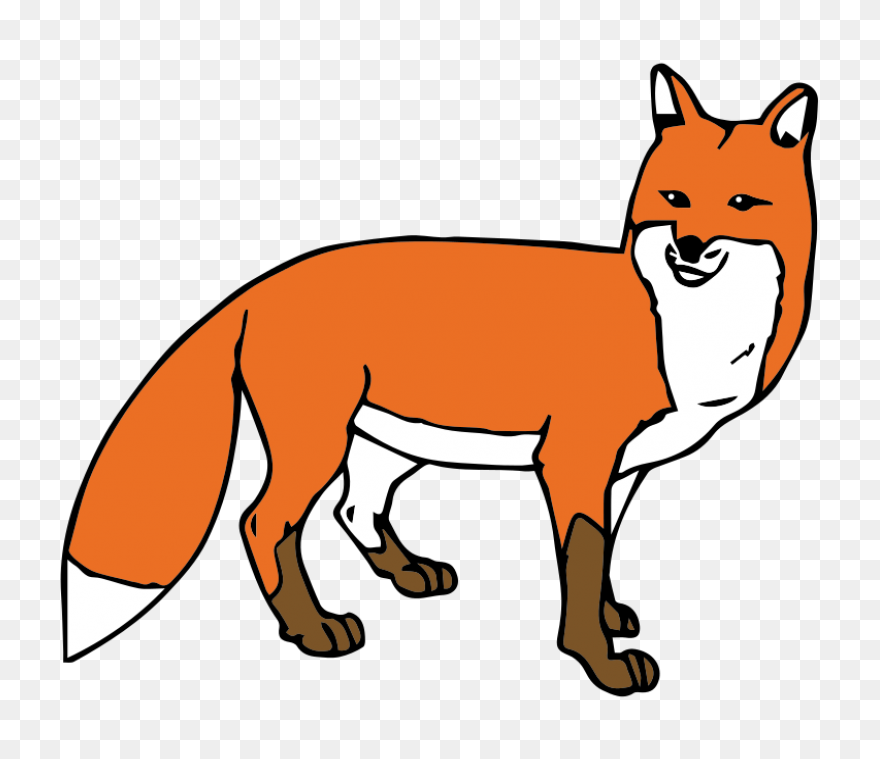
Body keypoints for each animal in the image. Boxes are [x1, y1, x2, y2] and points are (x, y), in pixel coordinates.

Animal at [61, 64, 817, 697]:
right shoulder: (574, 458)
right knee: (264, 521)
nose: (688, 246)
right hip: (318, 442)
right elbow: (580, 561)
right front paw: (596, 660)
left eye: (742, 202)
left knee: (354, 508)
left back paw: (407, 573)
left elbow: (601, 557)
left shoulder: (624, 469)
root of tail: (262, 283)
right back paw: (313, 629)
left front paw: (610, 616)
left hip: (389, 444)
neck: (683, 331)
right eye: (675, 197)